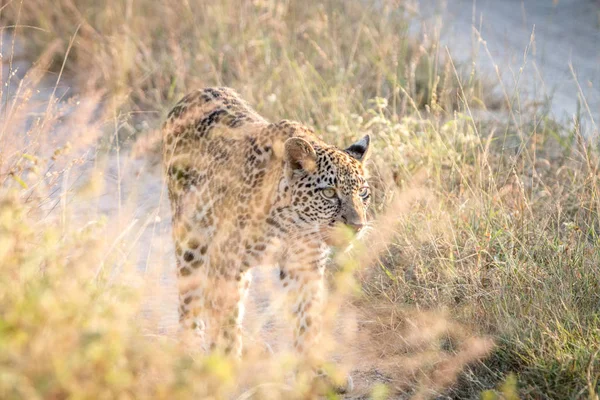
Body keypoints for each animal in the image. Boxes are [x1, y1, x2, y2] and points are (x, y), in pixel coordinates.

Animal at [162, 85, 372, 376]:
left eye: (363, 193)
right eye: (329, 193)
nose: (357, 226)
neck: (293, 224)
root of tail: (197, 91)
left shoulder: (305, 265)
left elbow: (307, 318)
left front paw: (312, 370)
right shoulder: (226, 260)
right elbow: (224, 317)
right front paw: (225, 362)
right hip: (191, 237)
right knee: (190, 297)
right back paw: (190, 350)